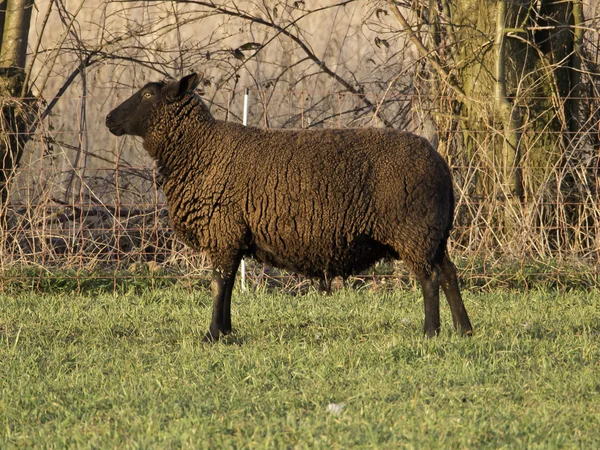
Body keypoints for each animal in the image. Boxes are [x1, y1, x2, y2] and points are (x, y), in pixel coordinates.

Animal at [106, 73, 474, 342]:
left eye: (149, 95)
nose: (109, 118)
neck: (200, 150)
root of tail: (441, 164)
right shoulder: (233, 236)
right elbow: (228, 286)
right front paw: (226, 331)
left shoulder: (223, 231)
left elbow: (218, 284)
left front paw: (212, 335)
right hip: (434, 234)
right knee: (449, 274)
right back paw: (463, 330)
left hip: (413, 231)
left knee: (429, 278)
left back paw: (431, 332)